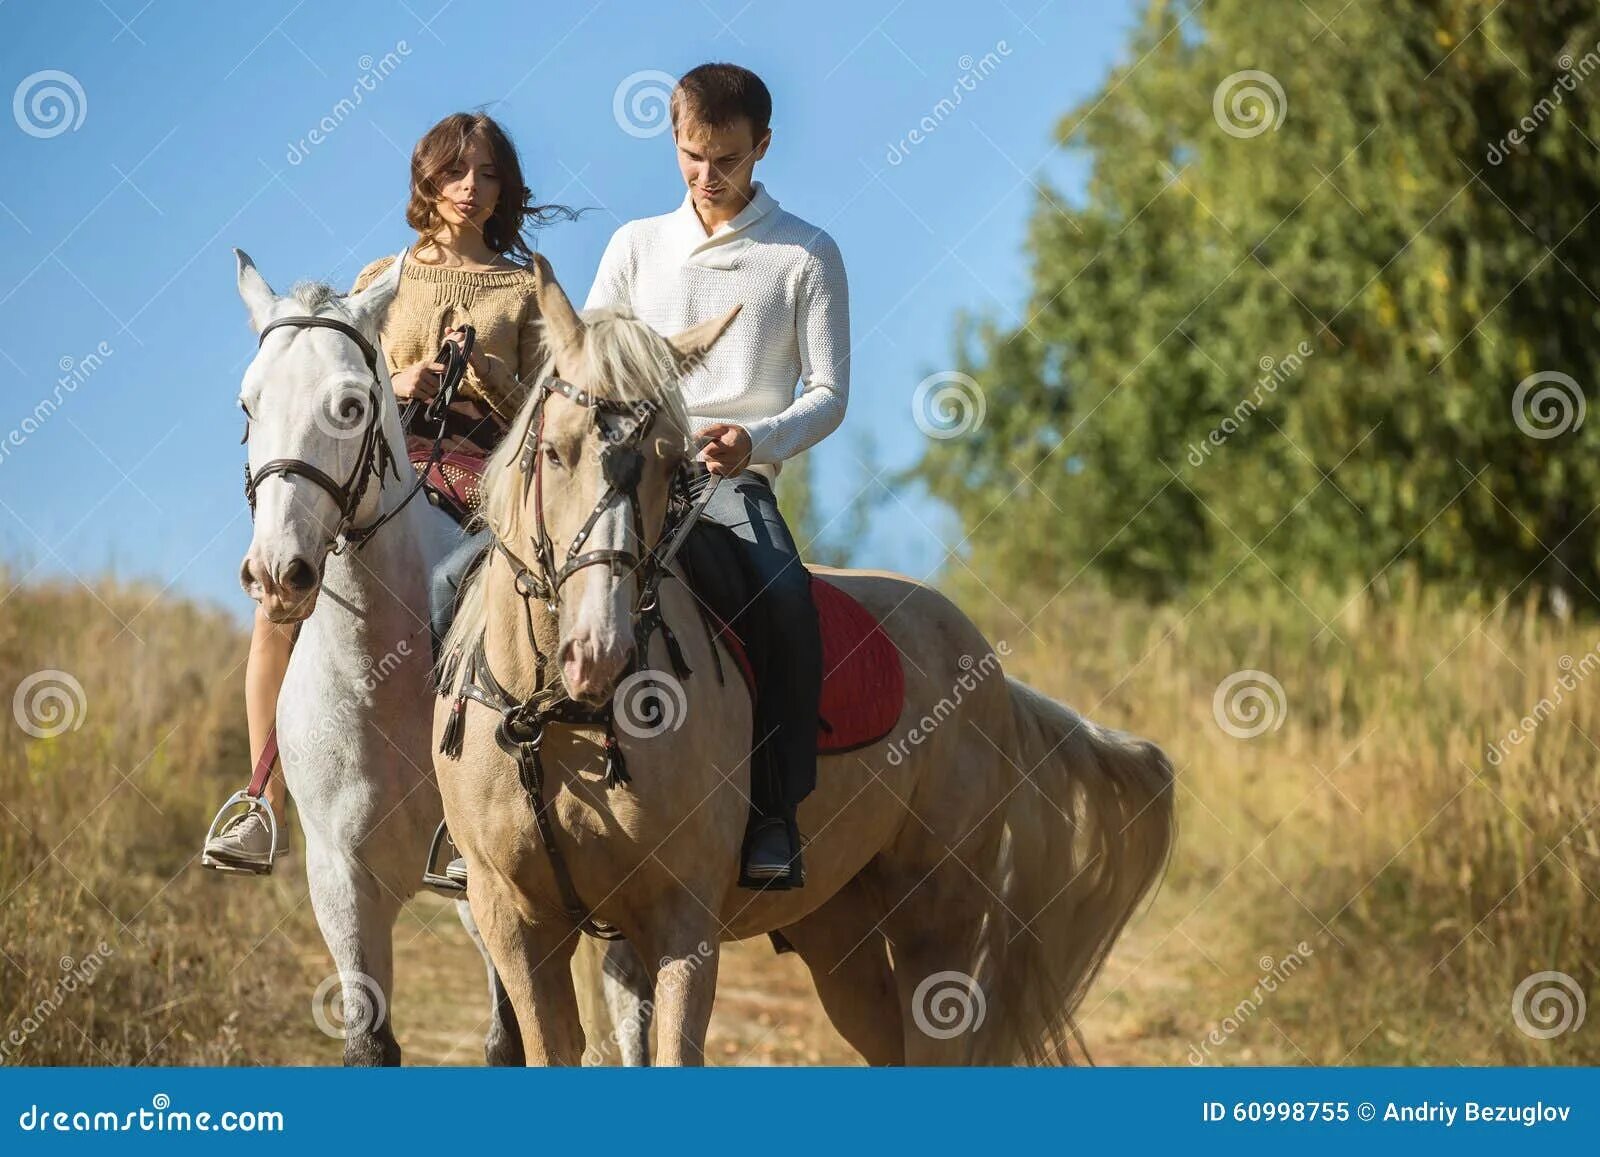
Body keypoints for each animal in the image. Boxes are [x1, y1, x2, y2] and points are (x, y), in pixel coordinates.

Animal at [233, 249, 518, 1062]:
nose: (278, 573)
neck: (379, 682)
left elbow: (510, 1039)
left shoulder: (490, 880)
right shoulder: (342, 882)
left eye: (353, 405)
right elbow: (369, 1042)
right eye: (247, 405)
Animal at [438, 260, 1177, 1068]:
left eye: (669, 463)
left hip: (938, 915)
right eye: (554, 451)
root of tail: (994, 676)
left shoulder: (681, 922)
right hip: (838, 929)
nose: (599, 652)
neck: (562, 718)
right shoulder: (514, 920)